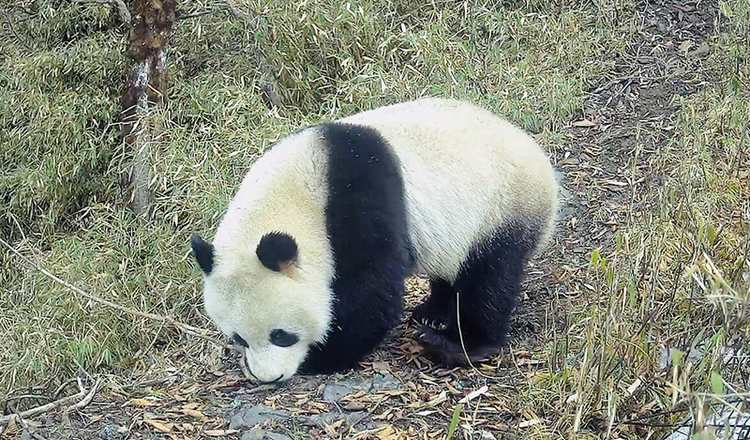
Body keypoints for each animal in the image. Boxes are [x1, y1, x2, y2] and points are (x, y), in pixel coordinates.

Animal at [191, 98, 558, 383]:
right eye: (239, 338)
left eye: (281, 335)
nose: (269, 377)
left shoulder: (360, 202)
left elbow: (373, 292)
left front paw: (323, 357)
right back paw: (432, 312)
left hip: (502, 207)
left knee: (489, 278)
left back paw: (457, 343)